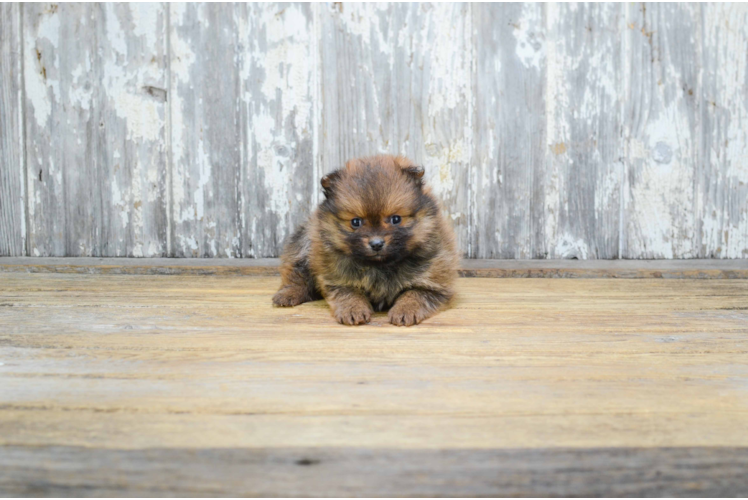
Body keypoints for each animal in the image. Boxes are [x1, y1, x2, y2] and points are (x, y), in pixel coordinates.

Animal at [272, 153, 458, 324]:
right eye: (356, 222)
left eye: (396, 219)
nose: (376, 244)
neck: (380, 266)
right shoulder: (337, 278)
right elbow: (349, 293)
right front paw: (353, 309)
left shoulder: (435, 283)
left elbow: (415, 293)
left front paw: (405, 310)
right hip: (304, 245)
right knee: (297, 274)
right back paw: (287, 294)